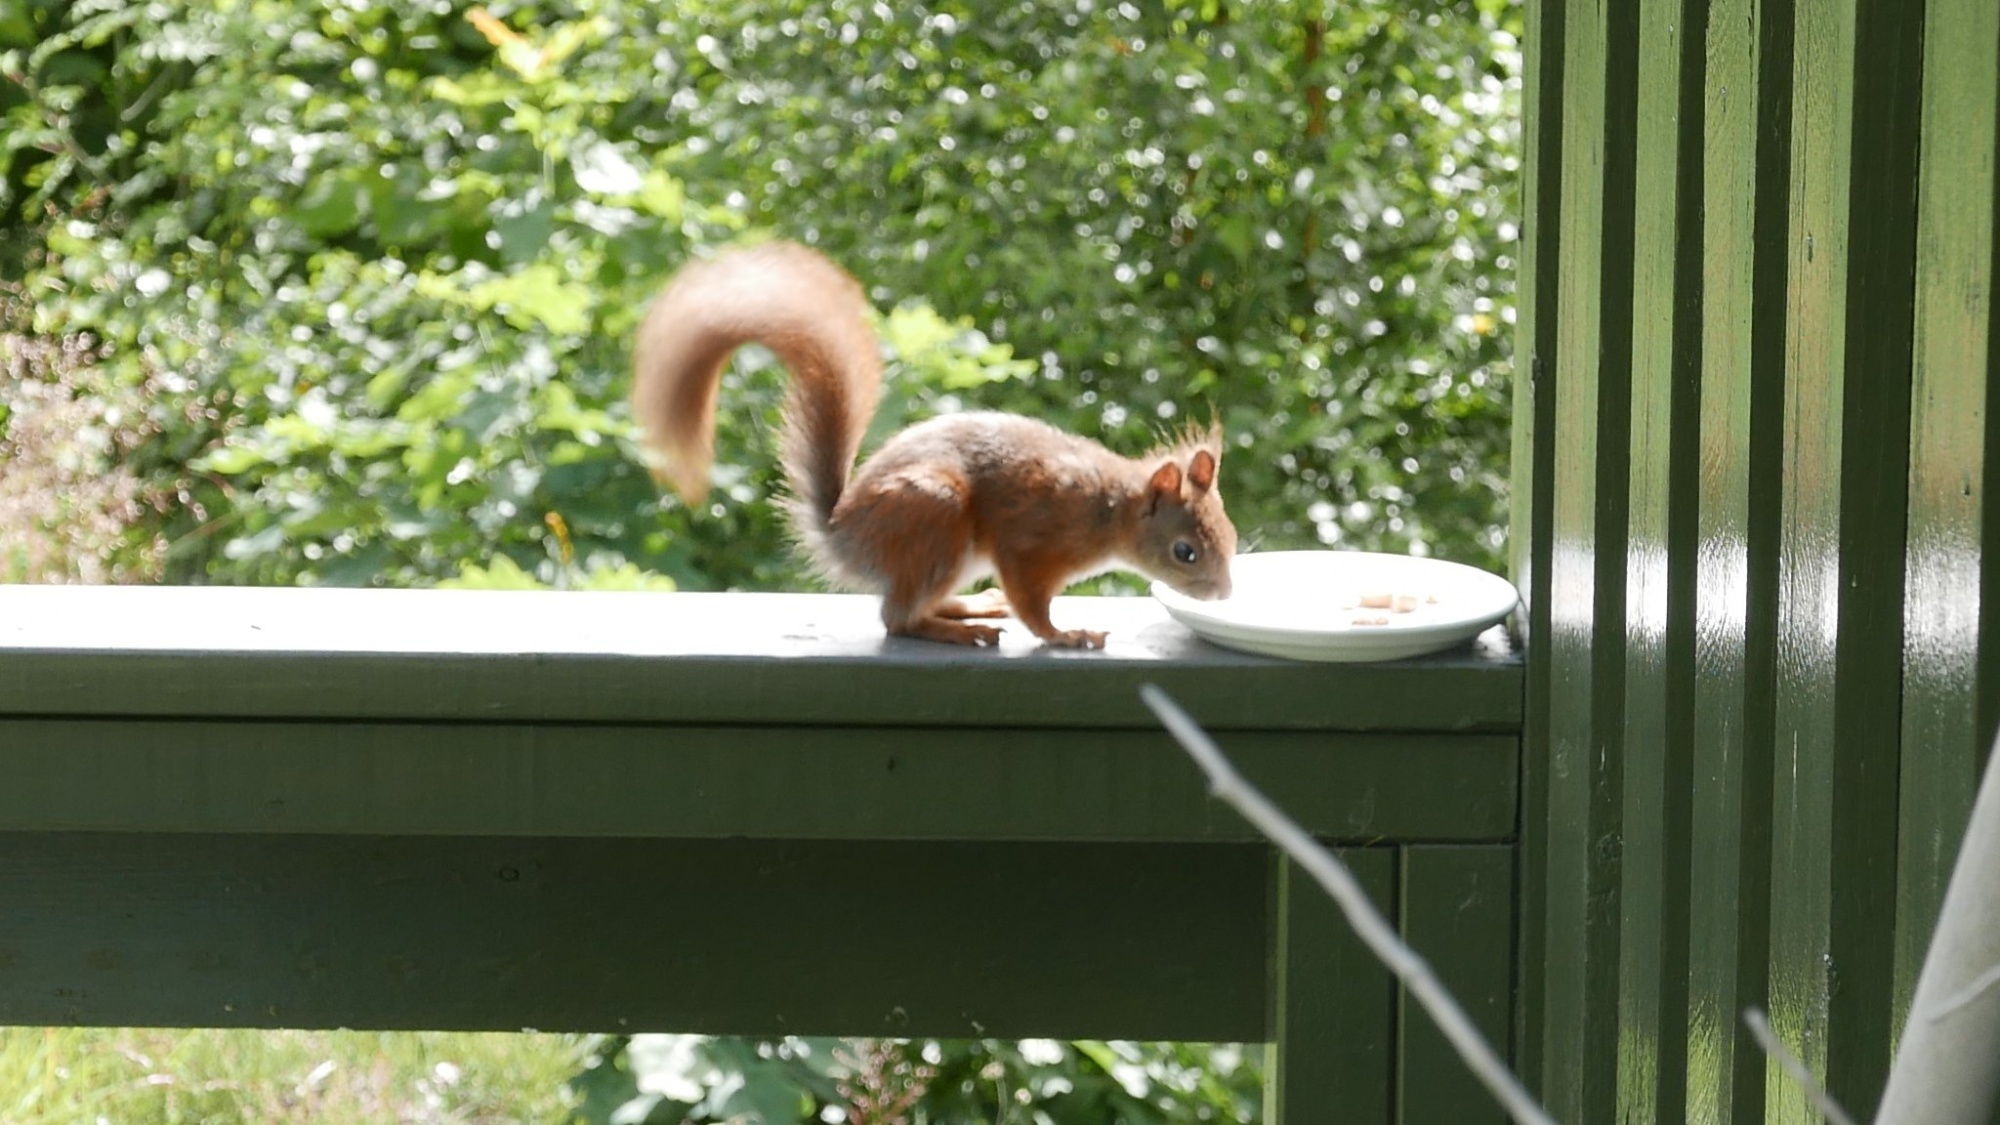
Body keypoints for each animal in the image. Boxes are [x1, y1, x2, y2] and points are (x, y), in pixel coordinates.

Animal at [631, 240, 1236, 648]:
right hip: (934, 517)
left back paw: (971, 608)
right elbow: (1032, 603)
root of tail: (844, 535)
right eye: (1184, 551)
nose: (1226, 595)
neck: (1107, 508)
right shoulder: (1031, 542)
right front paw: (1067, 635)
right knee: (897, 620)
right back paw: (956, 632)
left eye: (1229, 534)